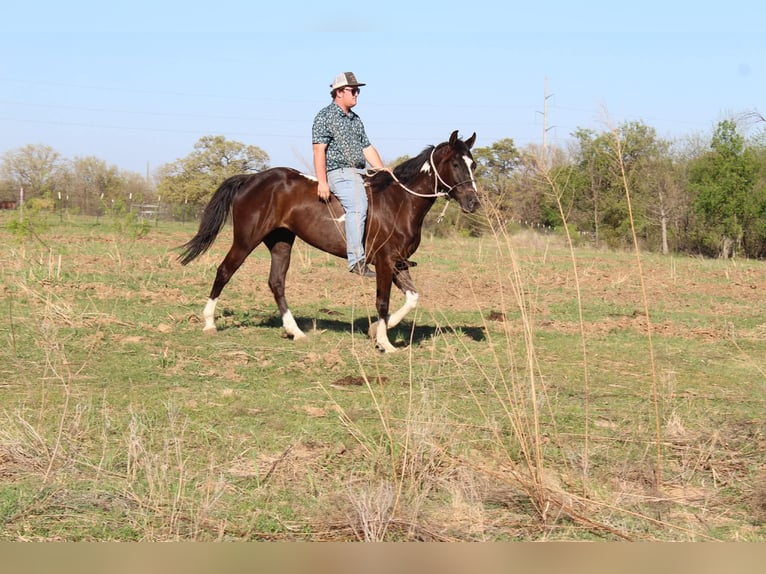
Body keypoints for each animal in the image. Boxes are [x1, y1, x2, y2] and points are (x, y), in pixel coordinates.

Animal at [179, 130, 479, 353]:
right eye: (455, 164)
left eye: (473, 164)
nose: (473, 203)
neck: (401, 202)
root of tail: (252, 178)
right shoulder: (384, 262)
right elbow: (382, 302)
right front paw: (385, 343)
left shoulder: (399, 263)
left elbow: (412, 298)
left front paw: (375, 331)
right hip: (246, 239)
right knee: (224, 271)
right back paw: (209, 324)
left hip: (281, 242)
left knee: (276, 283)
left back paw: (295, 332)